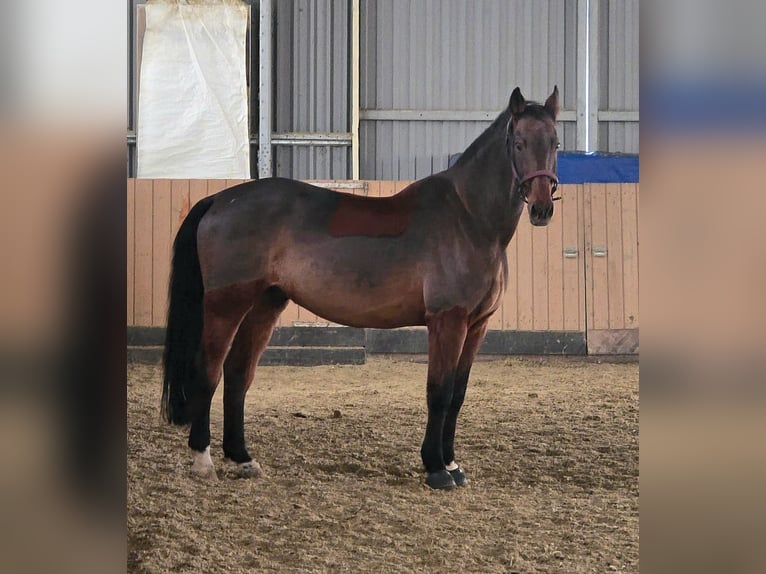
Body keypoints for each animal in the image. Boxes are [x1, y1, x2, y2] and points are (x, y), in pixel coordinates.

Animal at [162, 86, 561, 489]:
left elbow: (458, 395)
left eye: (555, 143)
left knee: (238, 373)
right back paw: (203, 460)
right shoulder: (447, 322)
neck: (470, 219)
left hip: (264, 304)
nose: (542, 209)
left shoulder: (477, 325)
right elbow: (440, 392)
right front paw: (435, 468)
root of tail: (220, 200)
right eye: (520, 143)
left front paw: (452, 464)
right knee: (208, 371)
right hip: (226, 305)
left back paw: (242, 458)